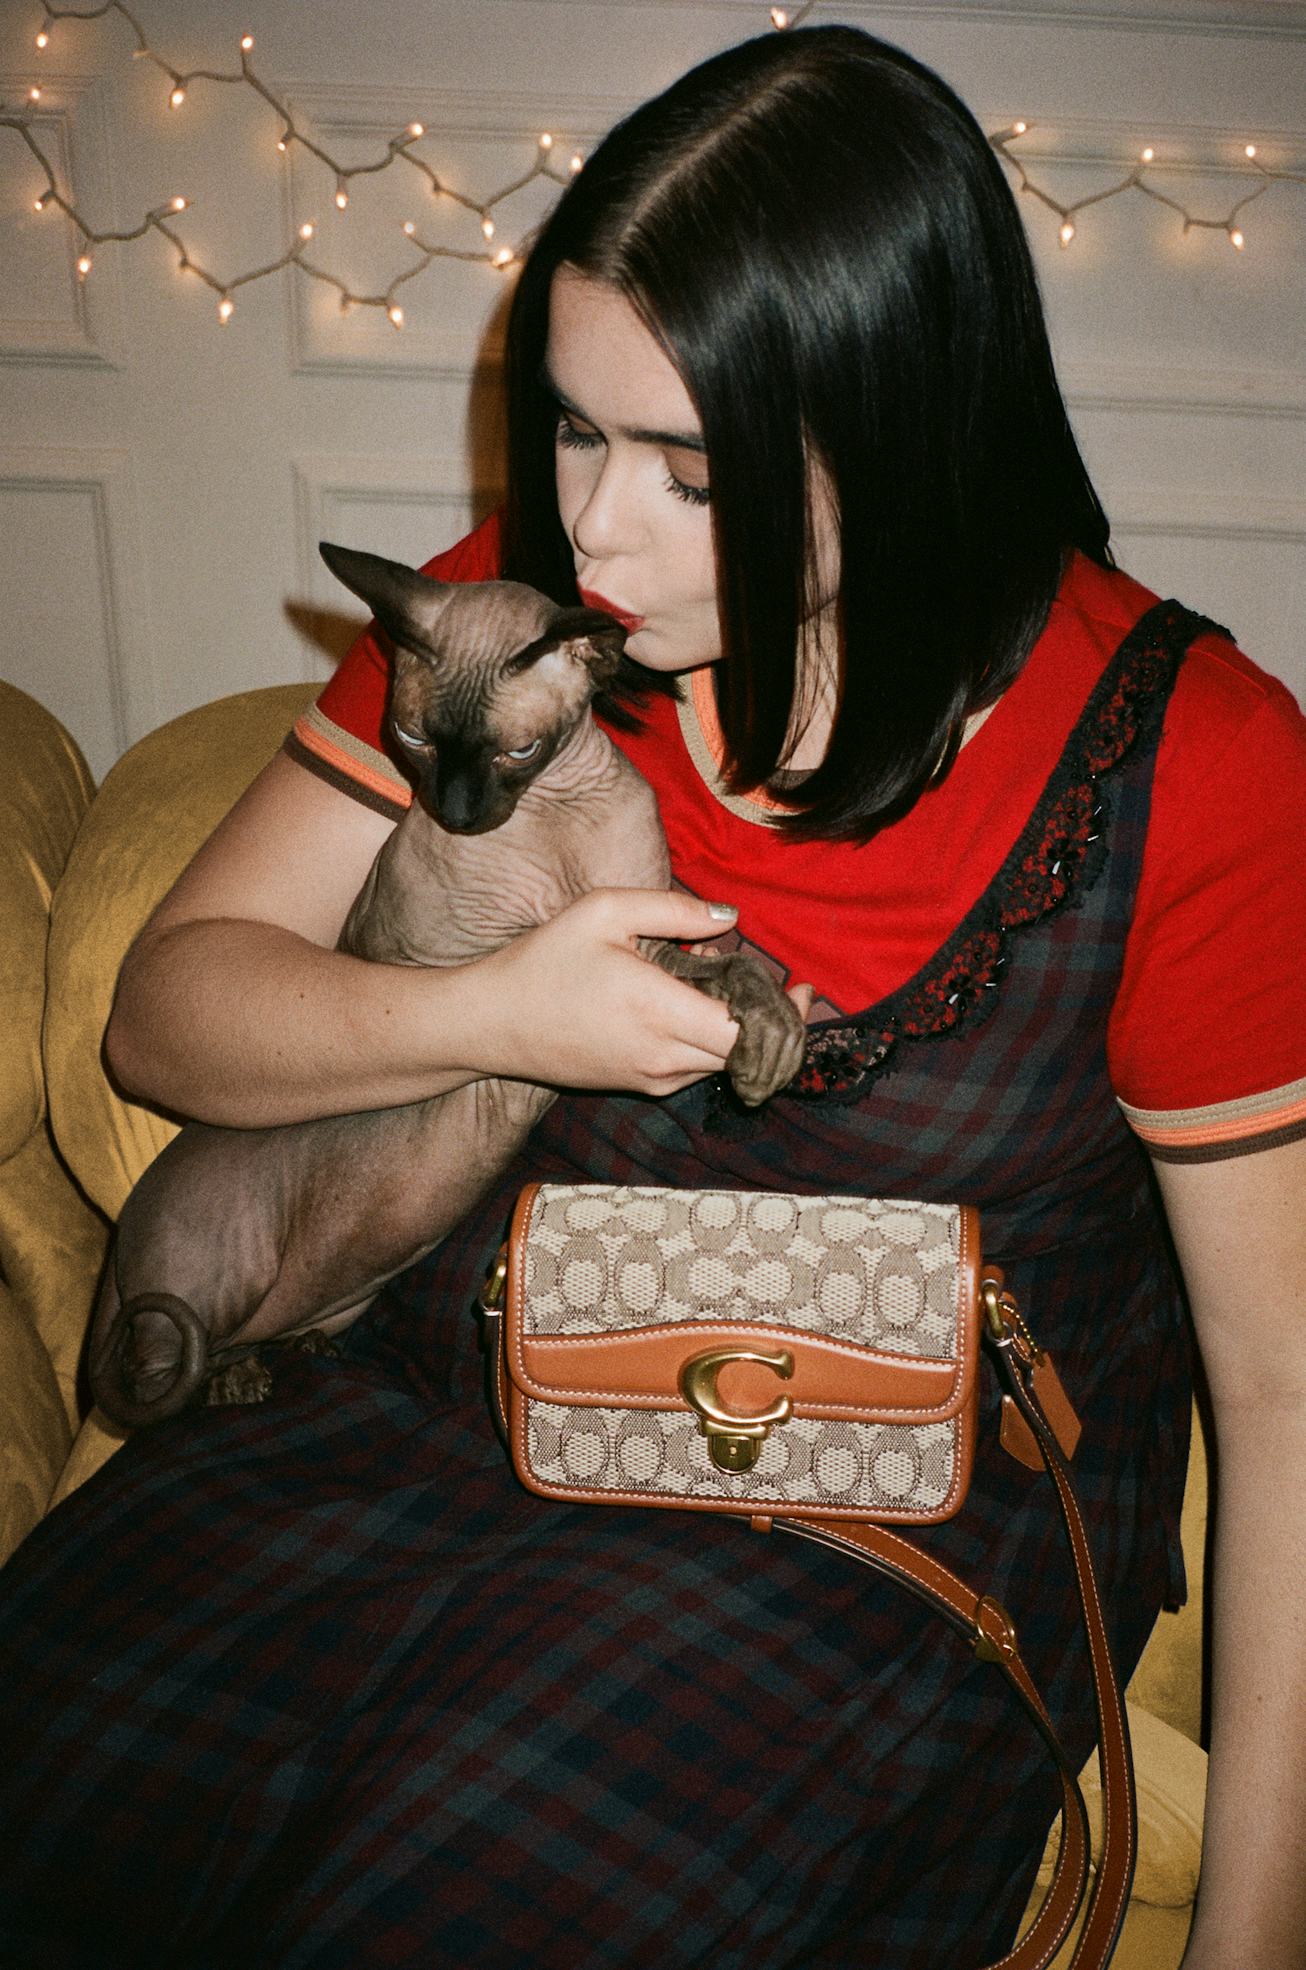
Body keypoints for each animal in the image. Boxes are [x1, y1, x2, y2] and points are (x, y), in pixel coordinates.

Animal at [86, 547, 807, 1426]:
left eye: (518, 751)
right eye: (410, 738)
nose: (457, 814)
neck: (559, 816)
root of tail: (121, 1238)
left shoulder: (650, 925)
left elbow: (733, 950)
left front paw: (772, 1022)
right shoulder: (566, 956)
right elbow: (723, 966)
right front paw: (768, 1041)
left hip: (335, 1295)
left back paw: (295, 1350)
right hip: (210, 1283)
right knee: (153, 1377)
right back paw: (228, 1380)